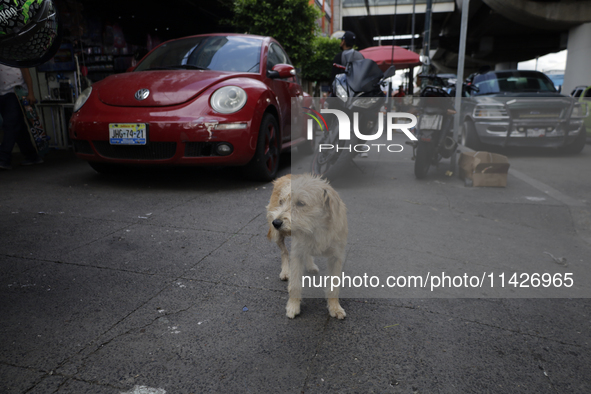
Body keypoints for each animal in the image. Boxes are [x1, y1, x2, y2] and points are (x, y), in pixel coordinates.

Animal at [268, 174, 350, 318]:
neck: (315, 229)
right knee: (284, 252)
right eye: (281, 202)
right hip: (278, 236)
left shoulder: (336, 257)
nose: (276, 223)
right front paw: (293, 306)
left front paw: (335, 307)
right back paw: (285, 271)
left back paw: (311, 265)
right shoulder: (297, 253)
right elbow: (295, 284)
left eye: (301, 203)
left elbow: (334, 286)